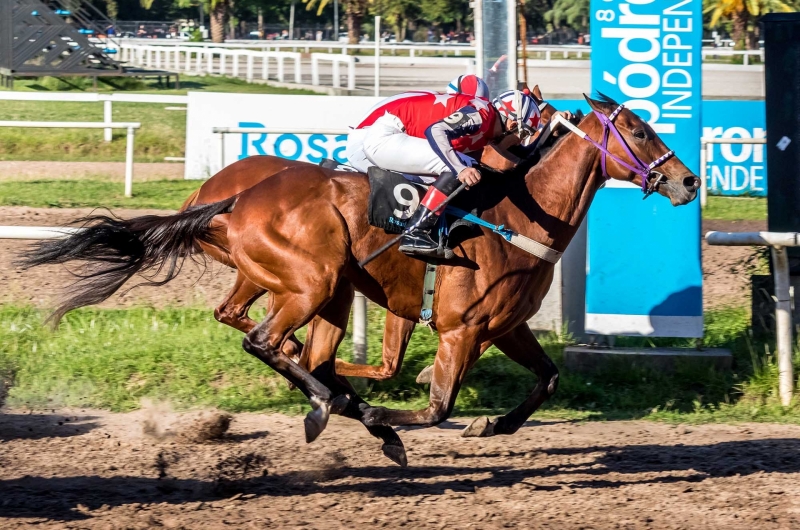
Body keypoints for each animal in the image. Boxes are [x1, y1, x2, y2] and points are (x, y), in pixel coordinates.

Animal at [20, 96, 700, 466]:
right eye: (639, 131)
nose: (689, 181)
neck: (515, 215)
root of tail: (229, 199)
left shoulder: (505, 326)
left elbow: (548, 378)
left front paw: (491, 424)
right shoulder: (461, 329)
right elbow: (434, 405)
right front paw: (389, 419)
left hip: (323, 290)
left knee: (282, 343)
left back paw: (328, 394)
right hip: (312, 283)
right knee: (265, 341)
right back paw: (333, 403)